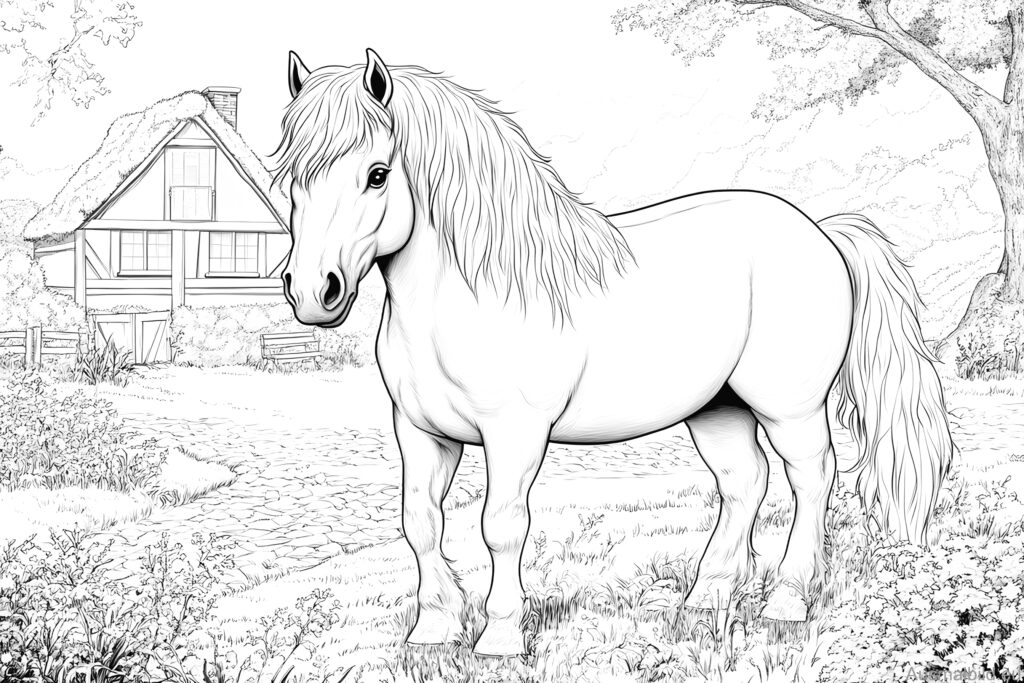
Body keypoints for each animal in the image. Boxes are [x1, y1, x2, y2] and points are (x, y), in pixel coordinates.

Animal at [274, 48, 954, 657]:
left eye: (377, 174)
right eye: (293, 180)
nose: (313, 292)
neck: (470, 295)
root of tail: (821, 231)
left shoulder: (514, 434)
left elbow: (501, 526)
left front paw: (500, 637)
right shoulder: (420, 432)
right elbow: (420, 523)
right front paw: (434, 629)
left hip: (790, 407)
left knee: (811, 477)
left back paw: (786, 601)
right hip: (719, 408)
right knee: (744, 483)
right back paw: (706, 598)